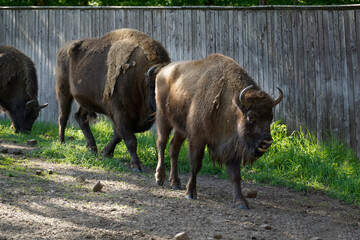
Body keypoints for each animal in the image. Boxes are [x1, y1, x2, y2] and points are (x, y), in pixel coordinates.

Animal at [56, 28, 170, 171]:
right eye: (156, 87)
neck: (140, 78)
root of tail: (63, 48)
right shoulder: (120, 113)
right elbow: (130, 139)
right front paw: (137, 165)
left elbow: (119, 135)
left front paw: (106, 152)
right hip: (63, 91)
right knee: (63, 116)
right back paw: (62, 142)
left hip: (87, 101)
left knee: (80, 117)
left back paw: (92, 148)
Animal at [154, 53, 282, 209]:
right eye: (251, 116)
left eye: (270, 117)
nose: (266, 142)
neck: (232, 107)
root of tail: (163, 71)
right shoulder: (197, 138)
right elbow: (195, 165)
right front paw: (191, 193)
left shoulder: (232, 146)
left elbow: (236, 176)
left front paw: (241, 202)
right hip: (163, 118)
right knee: (162, 143)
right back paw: (160, 178)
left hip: (180, 129)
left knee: (174, 148)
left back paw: (175, 182)